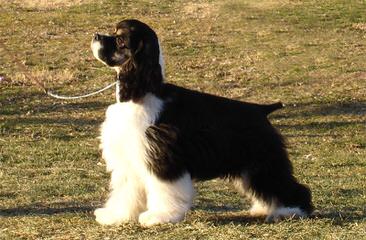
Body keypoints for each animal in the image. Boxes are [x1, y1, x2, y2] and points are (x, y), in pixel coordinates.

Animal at [90, 19, 314, 227]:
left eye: (120, 40)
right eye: (113, 32)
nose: (96, 35)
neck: (142, 92)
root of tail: (262, 110)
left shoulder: (163, 158)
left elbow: (165, 189)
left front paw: (160, 216)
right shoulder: (130, 158)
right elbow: (126, 192)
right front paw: (114, 215)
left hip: (263, 161)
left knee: (289, 186)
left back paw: (289, 211)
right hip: (250, 167)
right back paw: (264, 208)